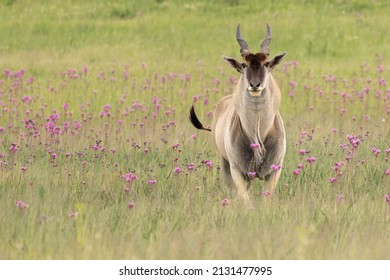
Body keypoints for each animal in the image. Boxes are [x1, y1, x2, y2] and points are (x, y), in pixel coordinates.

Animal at [189, 23, 286, 208]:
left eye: (266, 63)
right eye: (244, 65)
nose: (255, 85)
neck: (257, 134)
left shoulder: (274, 170)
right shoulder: (237, 171)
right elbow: (245, 201)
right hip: (224, 163)